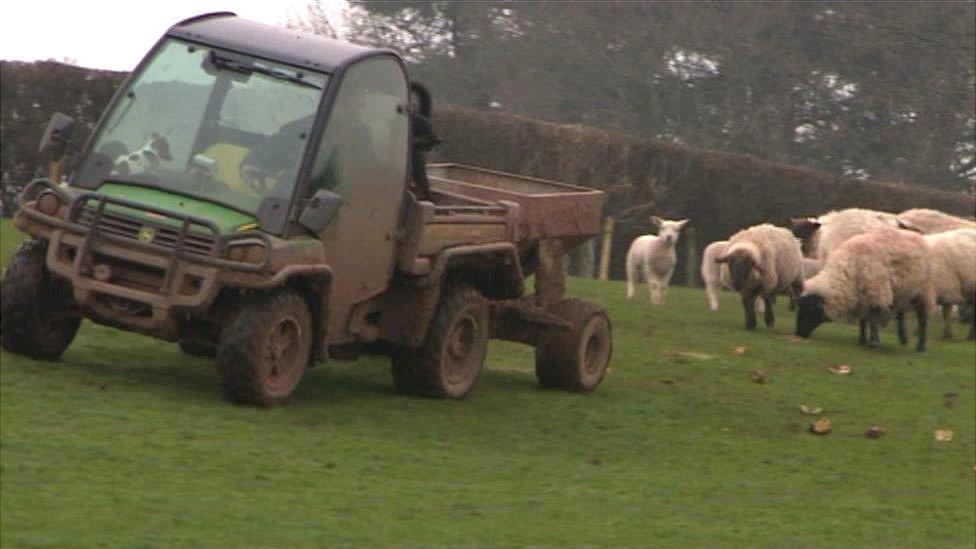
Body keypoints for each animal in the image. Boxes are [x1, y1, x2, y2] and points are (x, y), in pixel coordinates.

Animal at [796, 227, 936, 352]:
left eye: (810, 308)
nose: (799, 333)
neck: (849, 271)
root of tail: (918, 236)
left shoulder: (876, 292)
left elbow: (873, 317)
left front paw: (873, 342)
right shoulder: (861, 297)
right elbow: (863, 319)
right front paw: (862, 340)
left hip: (923, 291)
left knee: (923, 317)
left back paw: (920, 346)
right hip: (901, 293)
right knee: (902, 313)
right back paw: (903, 339)